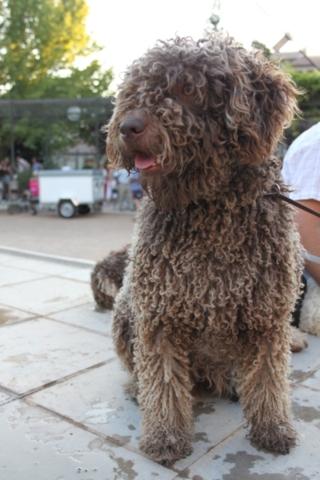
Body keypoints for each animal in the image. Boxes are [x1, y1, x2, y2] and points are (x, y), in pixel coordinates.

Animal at [104, 35, 302, 464]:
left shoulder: (267, 317)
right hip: (126, 309)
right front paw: (164, 435)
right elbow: (162, 380)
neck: (211, 211)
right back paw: (140, 391)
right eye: (134, 91)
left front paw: (272, 427)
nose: (127, 126)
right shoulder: (158, 315)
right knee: (145, 372)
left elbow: (269, 377)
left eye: (187, 90)